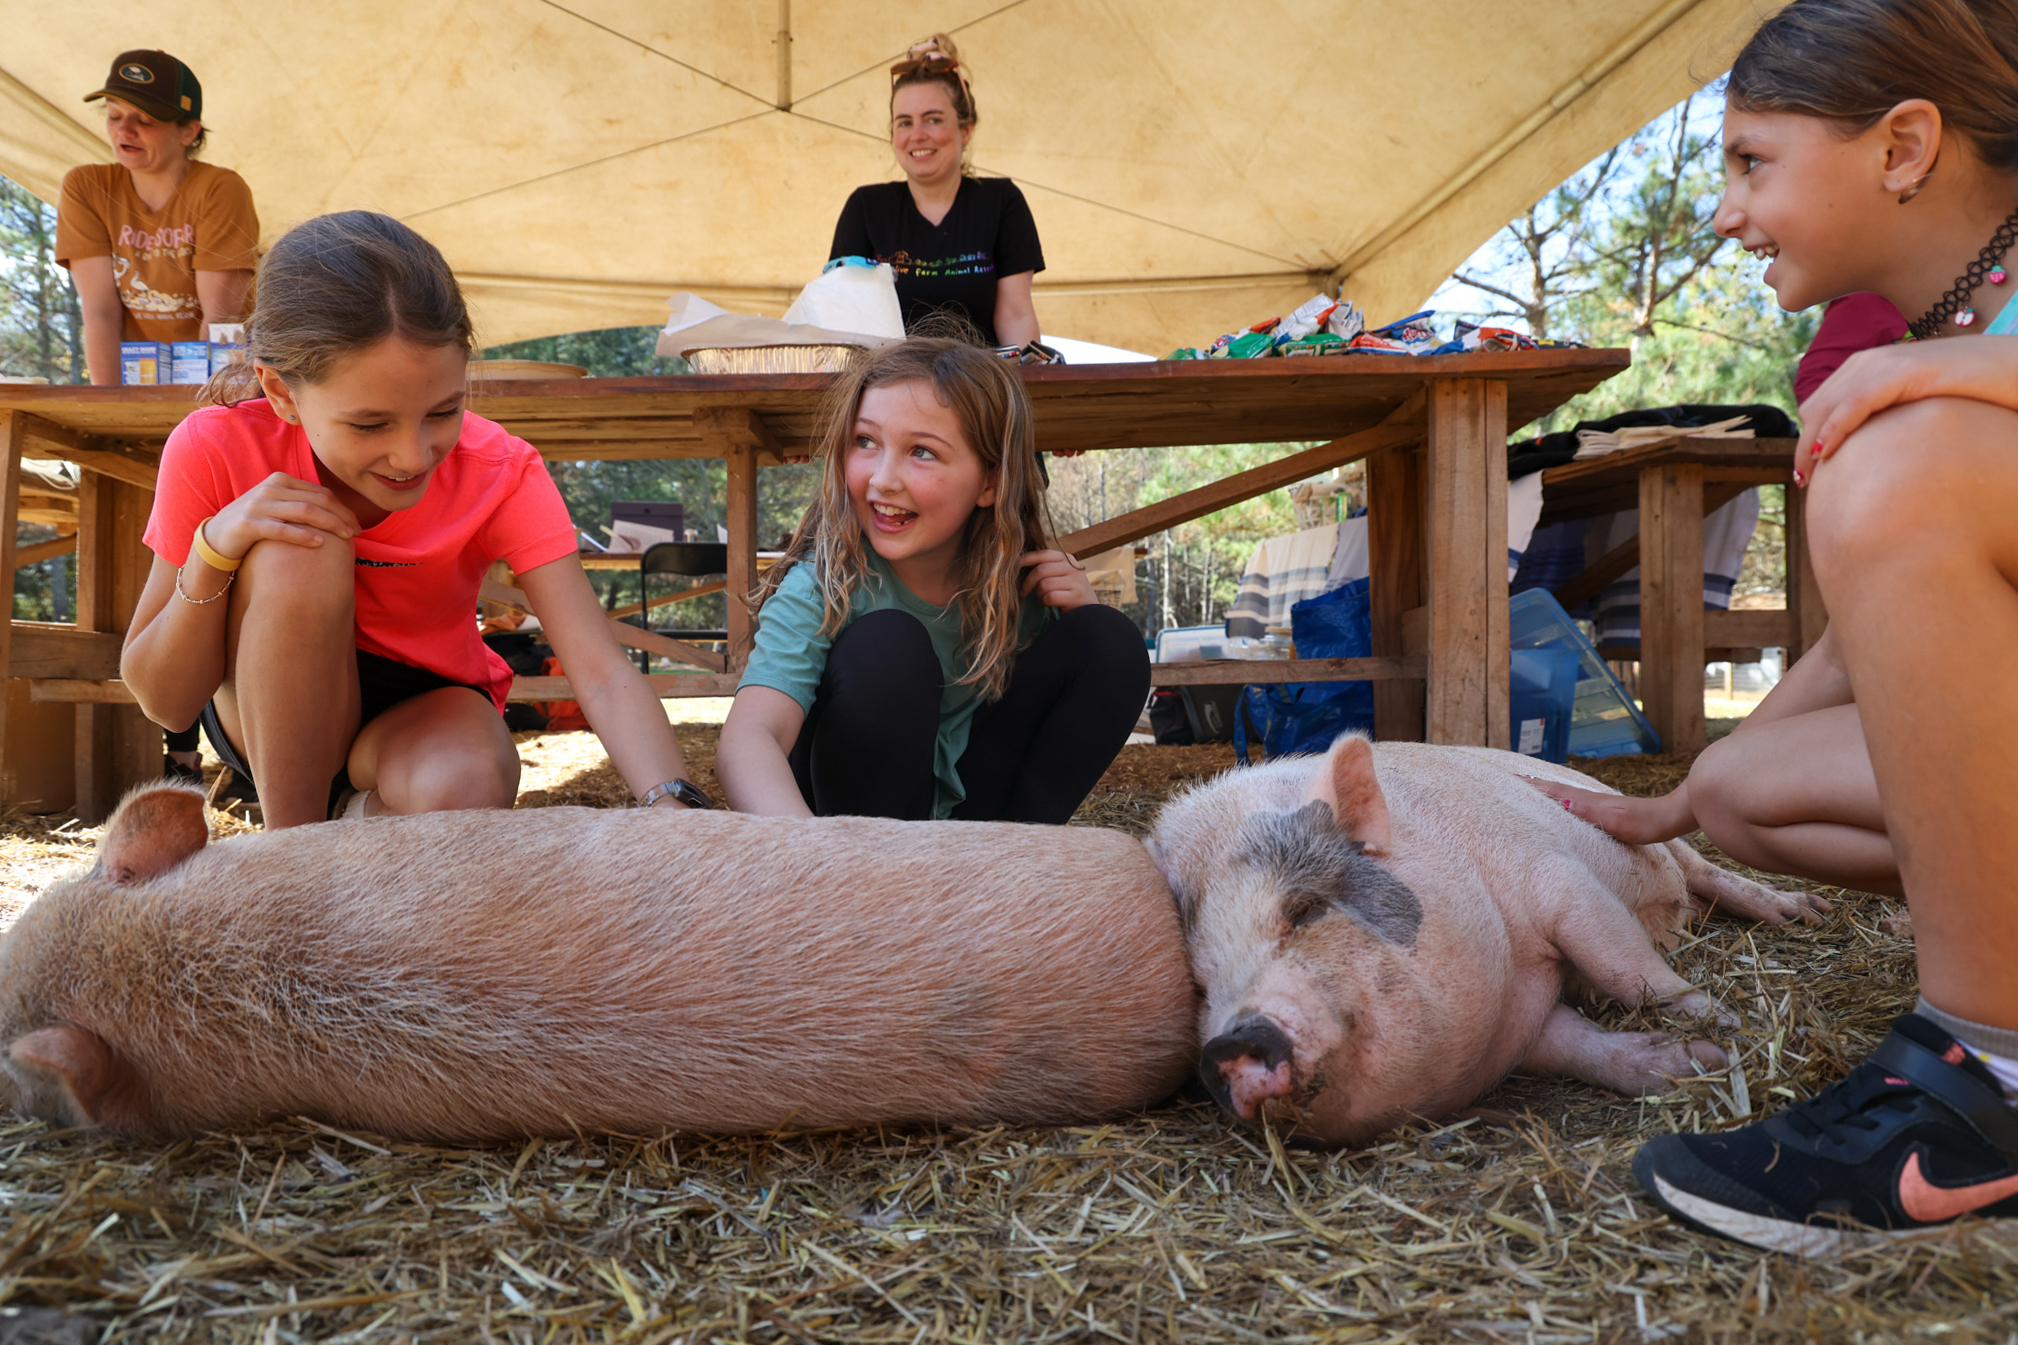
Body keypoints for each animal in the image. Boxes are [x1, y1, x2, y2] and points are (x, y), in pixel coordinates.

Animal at [1146, 735, 1828, 1146]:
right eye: (1201, 986)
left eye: (1304, 910)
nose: (1228, 1045)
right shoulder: (1521, 1024)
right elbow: (1582, 1046)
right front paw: (1698, 1064)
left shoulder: (1553, 876)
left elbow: (1623, 967)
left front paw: (1727, 1025)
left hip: (1644, 825)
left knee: (1705, 870)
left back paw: (1806, 913)